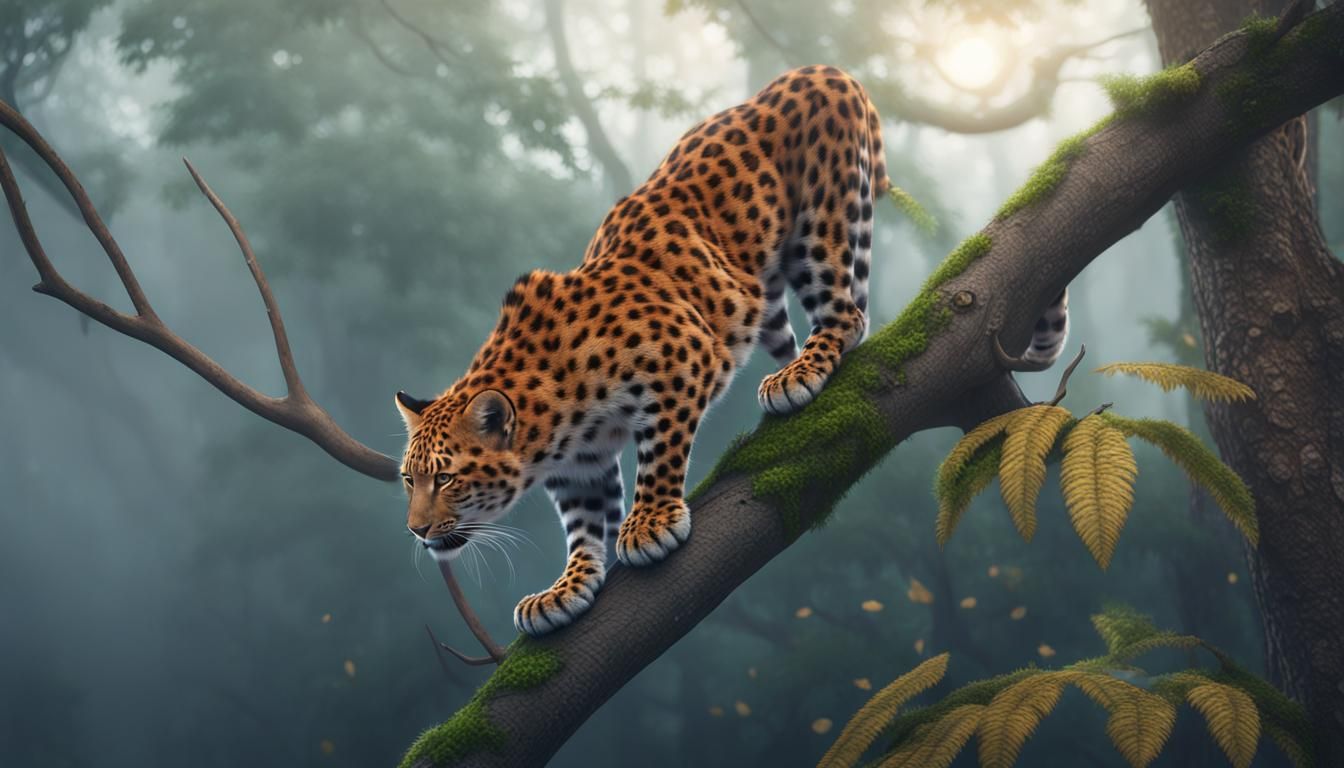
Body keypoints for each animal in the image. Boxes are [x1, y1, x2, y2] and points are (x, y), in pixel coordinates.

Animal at [394, 65, 1069, 637]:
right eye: (407, 479)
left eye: (446, 478)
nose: (418, 532)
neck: (549, 428)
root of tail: (824, 70)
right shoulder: (581, 466)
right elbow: (584, 525)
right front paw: (568, 588)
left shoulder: (679, 361)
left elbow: (660, 455)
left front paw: (650, 524)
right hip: (765, 292)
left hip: (820, 225)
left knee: (846, 312)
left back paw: (800, 376)